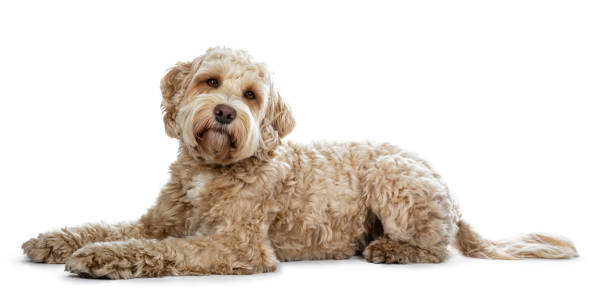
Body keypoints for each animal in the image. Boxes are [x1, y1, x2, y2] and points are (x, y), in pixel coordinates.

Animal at [22, 46, 580, 280]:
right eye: (210, 81)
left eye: (251, 94)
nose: (225, 111)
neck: (211, 169)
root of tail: (450, 188)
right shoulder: (159, 220)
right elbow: (112, 227)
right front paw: (55, 240)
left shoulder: (238, 245)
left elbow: (166, 250)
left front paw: (98, 259)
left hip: (392, 177)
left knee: (436, 250)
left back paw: (390, 250)